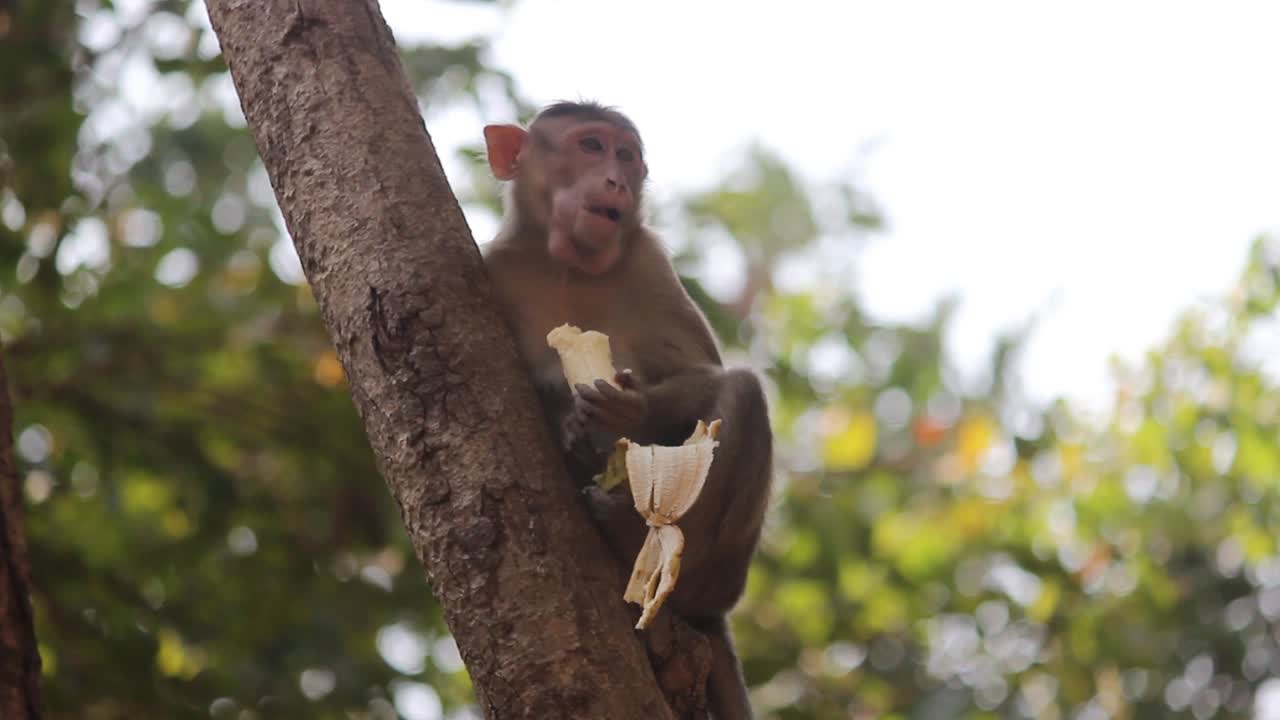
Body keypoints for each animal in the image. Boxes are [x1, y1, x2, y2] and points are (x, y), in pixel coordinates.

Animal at [480, 101, 773, 719]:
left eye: (627, 156)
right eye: (591, 146)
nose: (616, 180)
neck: (567, 265)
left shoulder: (648, 262)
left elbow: (704, 375)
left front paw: (622, 411)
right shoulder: (492, 268)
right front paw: (569, 421)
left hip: (719, 574)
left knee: (741, 392)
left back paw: (630, 533)